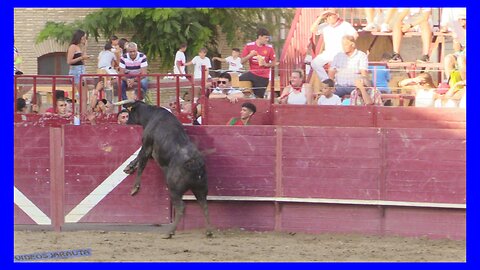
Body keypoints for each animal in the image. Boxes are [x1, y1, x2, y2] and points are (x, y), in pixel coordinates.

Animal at [124, 102, 212, 238]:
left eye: (129, 113)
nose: (126, 123)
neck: (152, 115)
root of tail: (194, 163)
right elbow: (138, 158)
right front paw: (129, 167)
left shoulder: (147, 145)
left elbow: (141, 161)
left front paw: (135, 188)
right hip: (200, 188)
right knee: (204, 205)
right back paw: (208, 231)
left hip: (174, 188)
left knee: (181, 207)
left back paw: (169, 232)